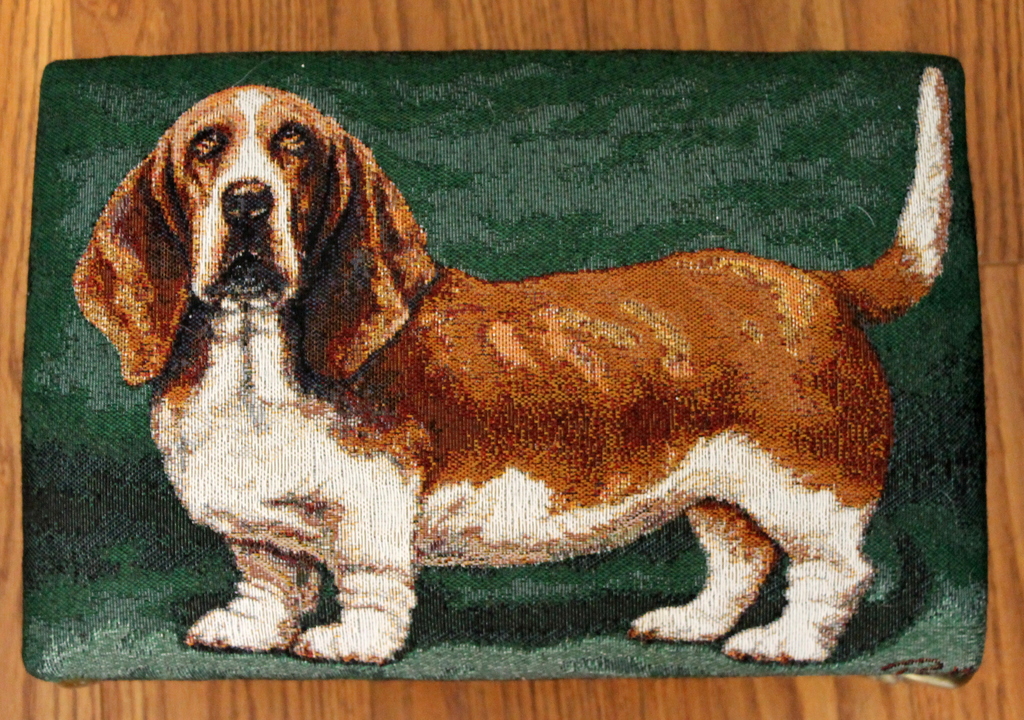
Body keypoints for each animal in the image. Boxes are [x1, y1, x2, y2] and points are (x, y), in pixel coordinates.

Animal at [73, 67, 952, 665]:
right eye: (206, 148)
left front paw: (353, 640)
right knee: (740, 559)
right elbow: (268, 575)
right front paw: (249, 629)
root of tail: (822, 285)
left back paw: (789, 643)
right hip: (718, 487)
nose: (248, 201)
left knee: (834, 572)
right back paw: (690, 624)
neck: (254, 357)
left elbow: (366, 577)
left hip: (804, 488)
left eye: (296, 146)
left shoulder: (371, 500)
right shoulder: (256, 523)